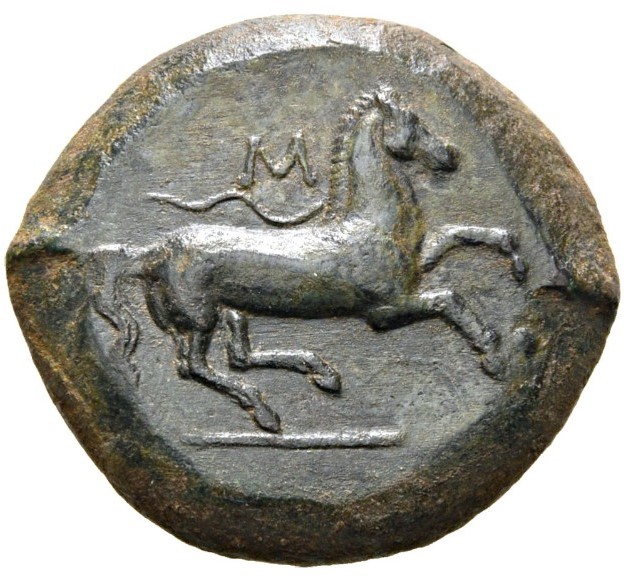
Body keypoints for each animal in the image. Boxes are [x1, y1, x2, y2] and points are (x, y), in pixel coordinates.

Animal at [87, 88, 526, 433]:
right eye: (414, 122)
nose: (450, 155)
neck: (370, 221)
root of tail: (155, 252)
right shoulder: (386, 309)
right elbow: (449, 298)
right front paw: (492, 354)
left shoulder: (415, 266)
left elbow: (460, 234)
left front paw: (517, 261)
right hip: (199, 317)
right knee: (195, 367)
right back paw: (267, 410)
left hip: (230, 310)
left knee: (239, 357)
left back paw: (321, 371)